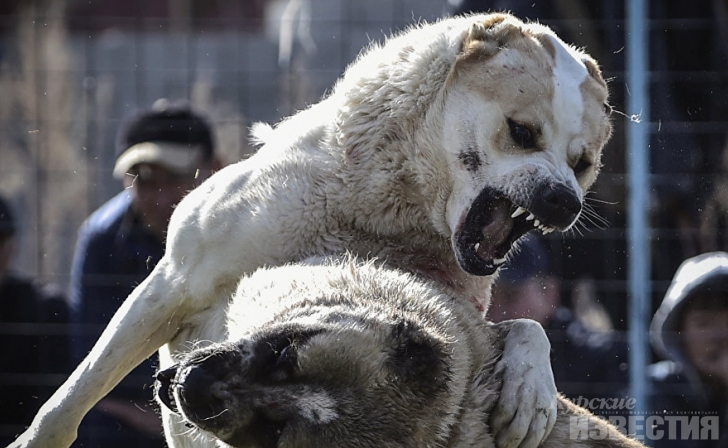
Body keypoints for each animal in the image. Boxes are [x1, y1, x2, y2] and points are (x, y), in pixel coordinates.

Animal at [12, 13, 616, 448]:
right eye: (522, 132)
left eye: (582, 163)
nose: (563, 201)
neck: (382, 214)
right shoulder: (172, 285)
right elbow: (74, 395)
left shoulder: (438, 312)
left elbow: (526, 328)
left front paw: (532, 392)